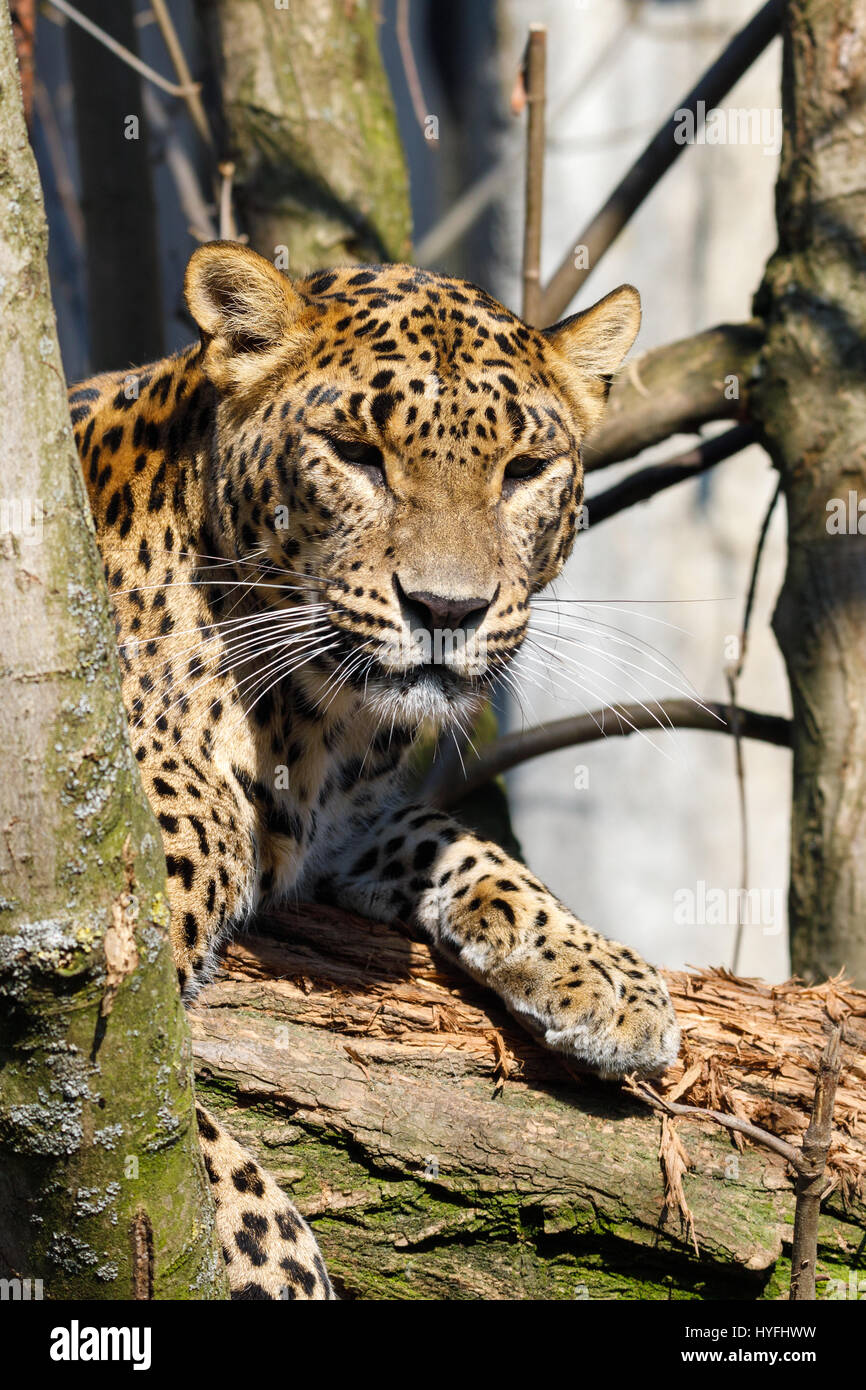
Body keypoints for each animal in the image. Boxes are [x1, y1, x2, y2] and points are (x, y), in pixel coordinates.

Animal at [69, 241, 680, 1300]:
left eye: (524, 470)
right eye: (355, 453)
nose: (448, 609)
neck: (309, 722)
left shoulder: (342, 825)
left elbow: (463, 843)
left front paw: (605, 974)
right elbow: (174, 1126)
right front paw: (274, 1260)